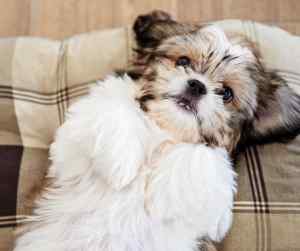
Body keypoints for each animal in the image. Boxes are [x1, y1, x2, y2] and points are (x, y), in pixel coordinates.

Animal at [13, 10, 300, 251]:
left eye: (226, 93)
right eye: (183, 61)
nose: (197, 86)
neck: (163, 131)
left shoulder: (212, 203)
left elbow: (206, 154)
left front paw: (164, 196)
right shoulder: (70, 146)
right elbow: (115, 105)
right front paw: (120, 165)